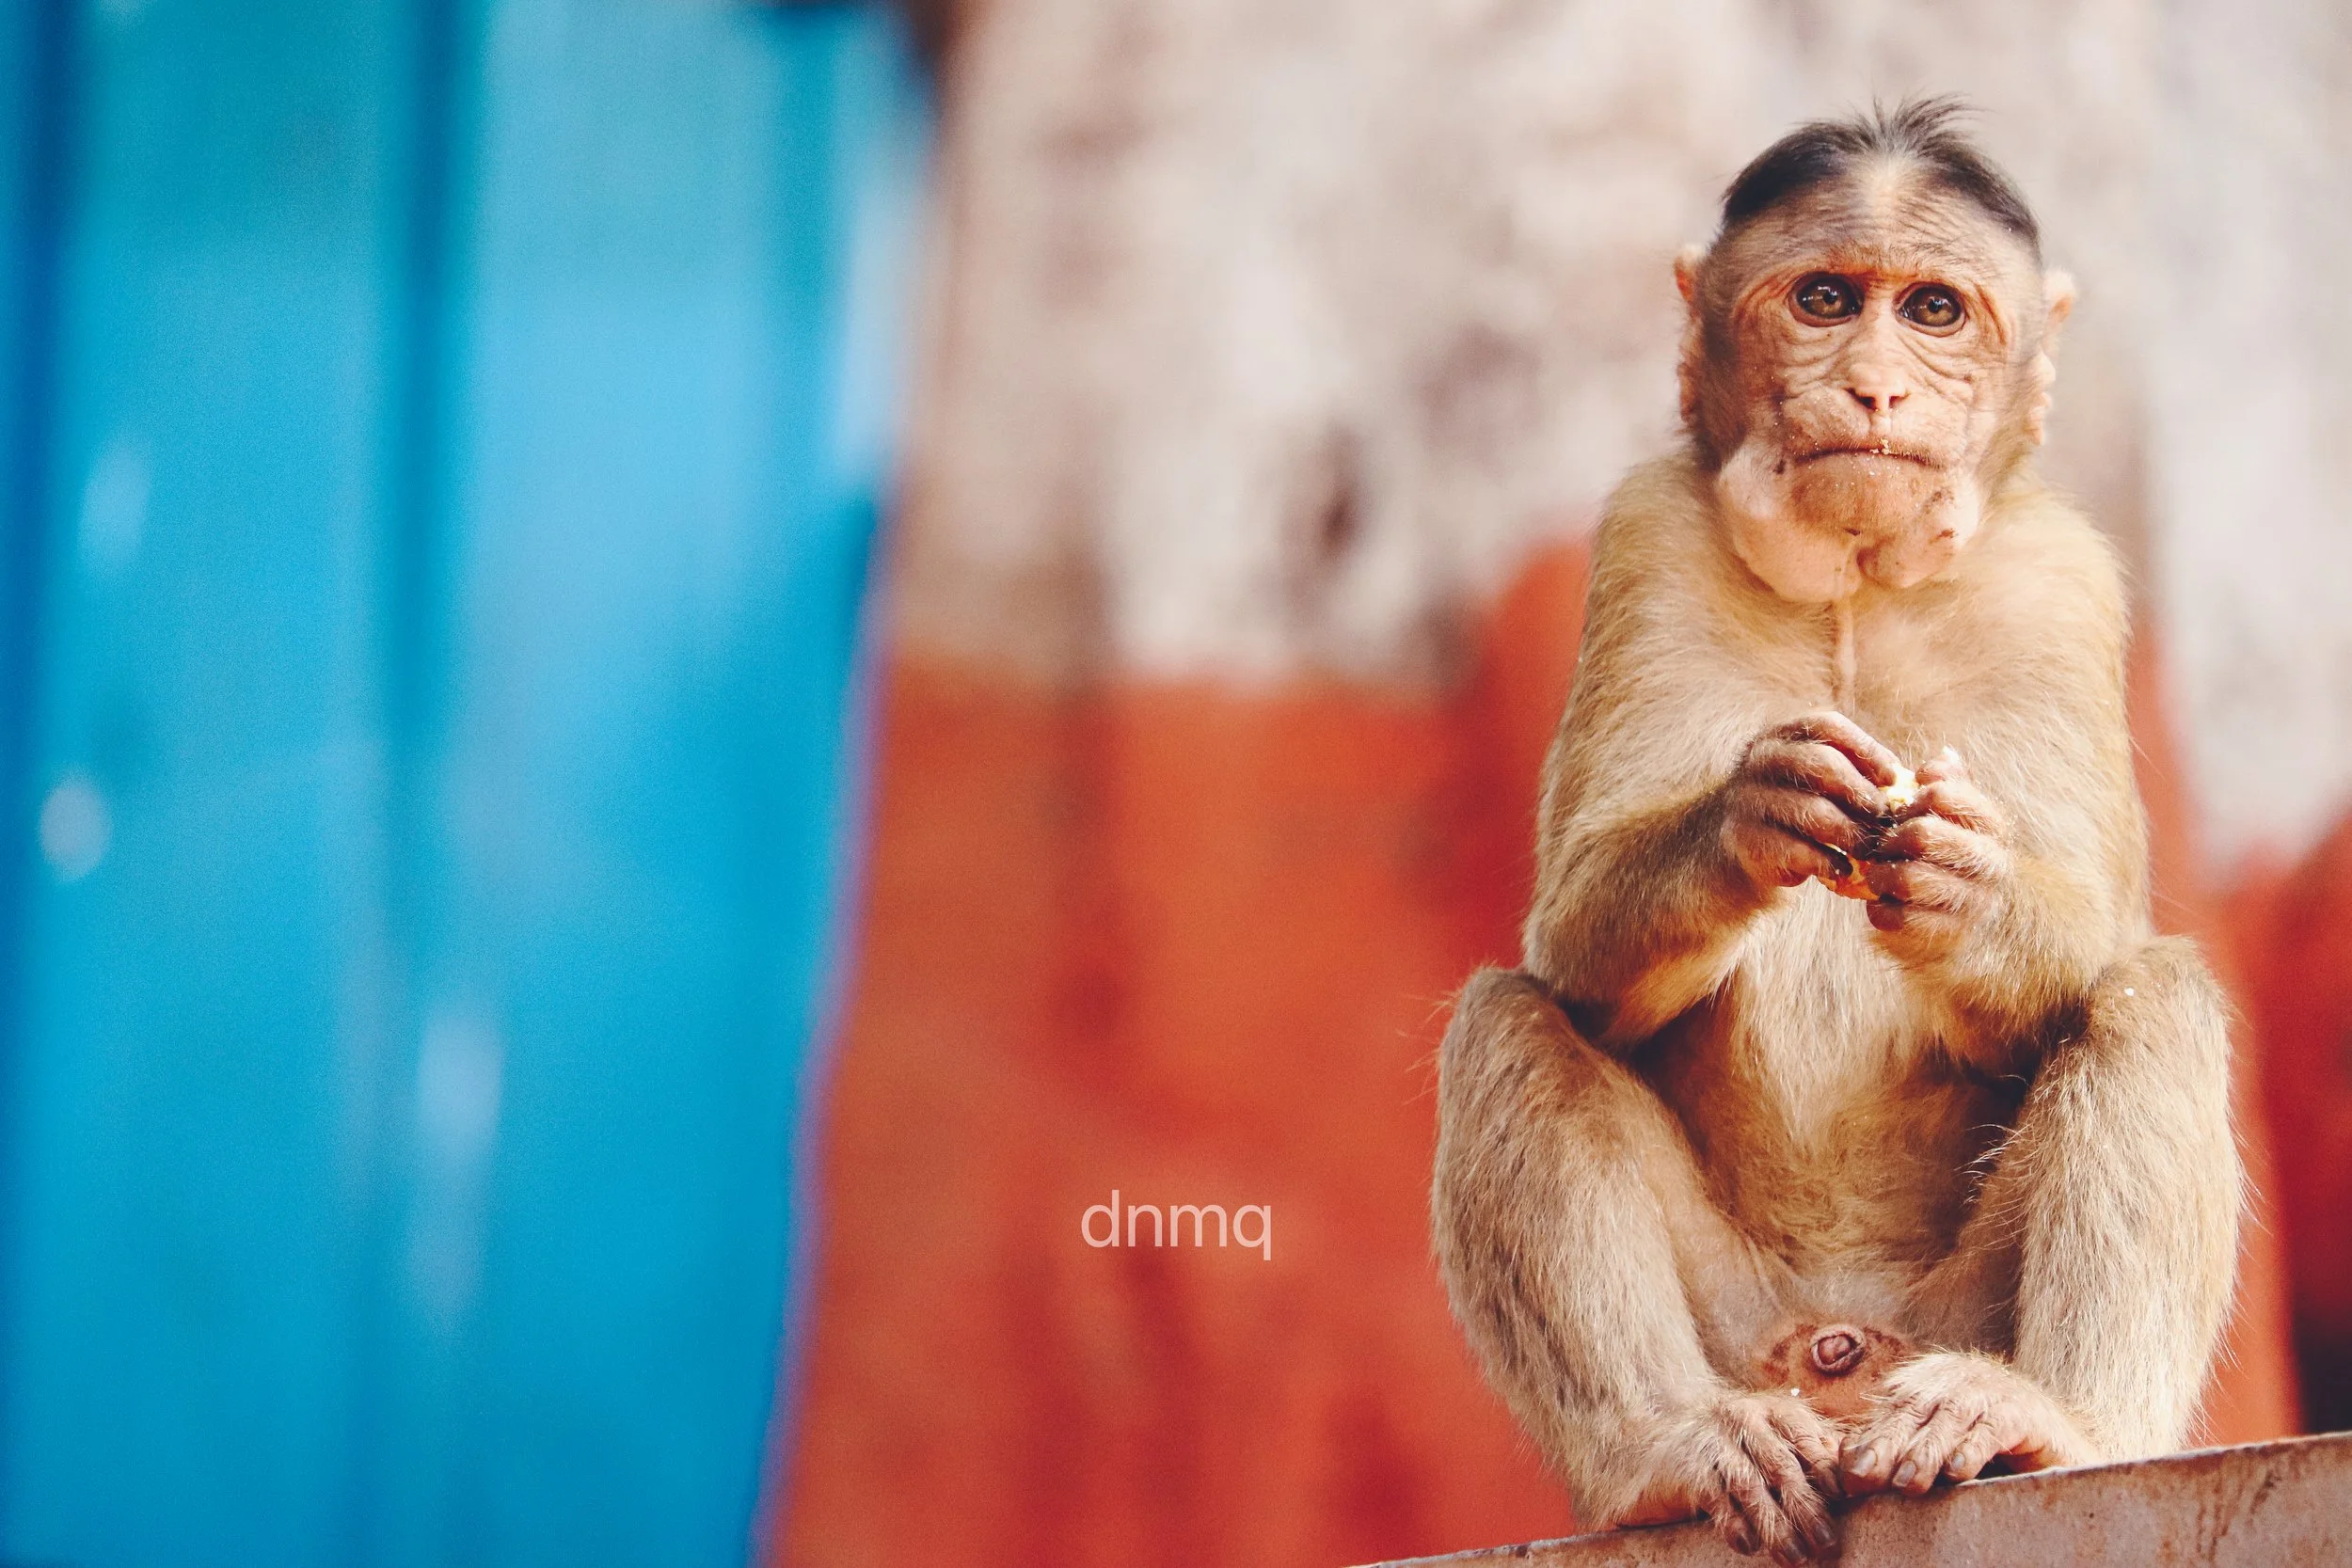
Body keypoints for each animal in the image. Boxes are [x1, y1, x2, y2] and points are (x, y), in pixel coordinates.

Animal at [1431, 99, 2240, 1566]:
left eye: (1931, 309)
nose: (1873, 387)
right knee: (1509, 1014)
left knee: (2153, 995)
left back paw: (2050, 1423)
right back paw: (1667, 1451)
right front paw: (1747, 818)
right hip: (1742, 1336)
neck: (1856, 590)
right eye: (1822, 300)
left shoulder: (2060, 584)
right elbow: (1576, 952)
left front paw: (1967, 886)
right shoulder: (1646, 541)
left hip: (1948, 1322)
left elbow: (2080, 969)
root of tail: (1844, 1355)